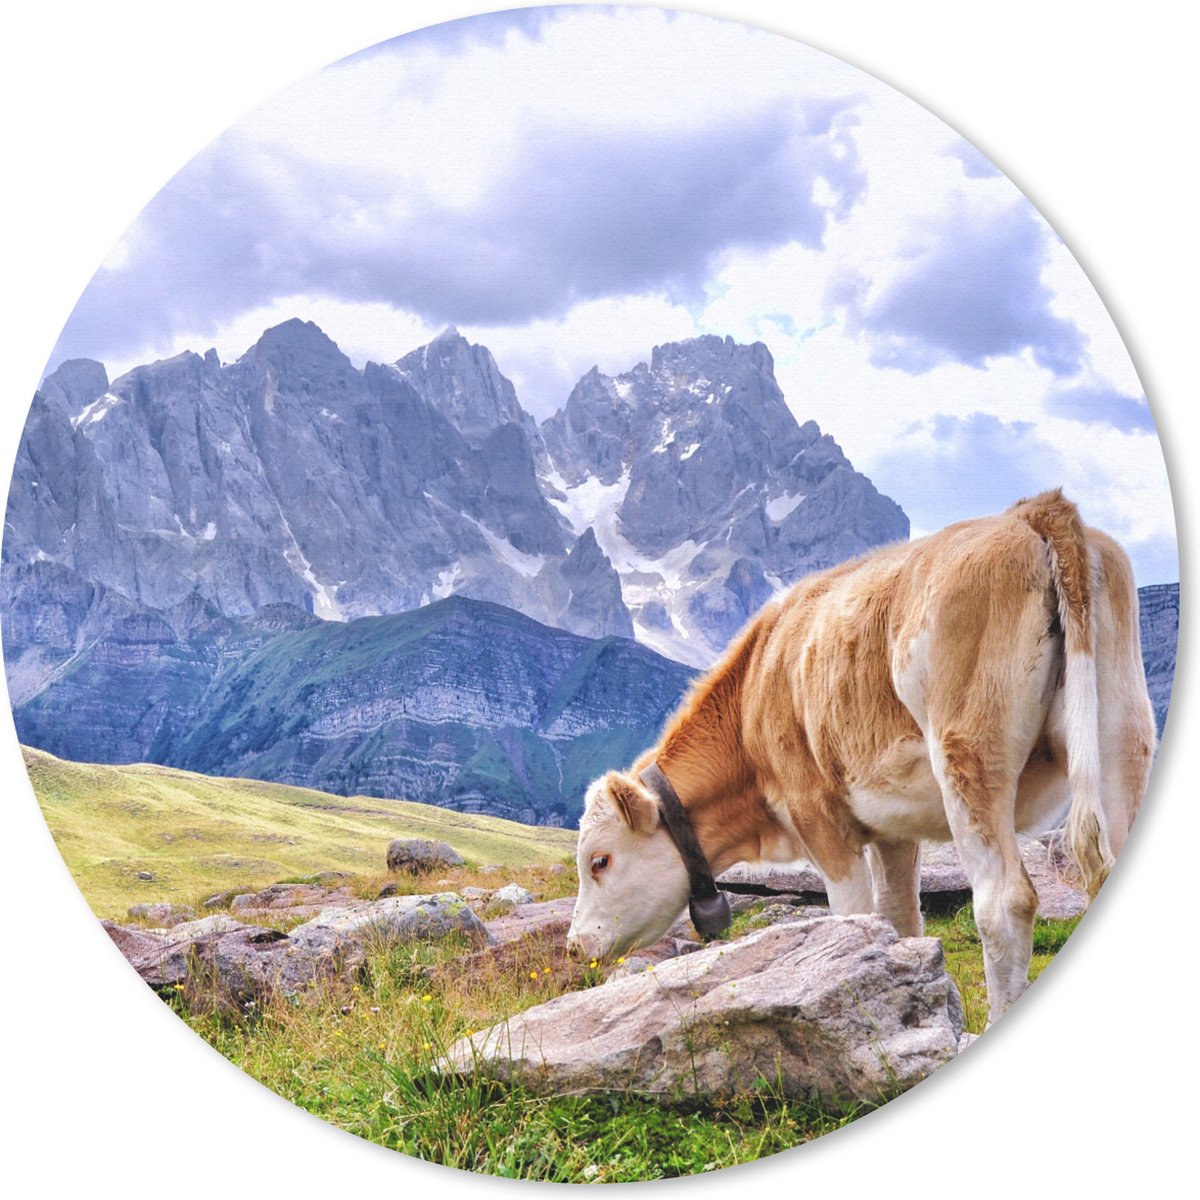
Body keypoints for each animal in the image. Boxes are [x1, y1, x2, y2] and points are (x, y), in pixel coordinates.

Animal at [567, 491, 1157, 1024]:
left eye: (600, 860)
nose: (574, 946)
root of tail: (1034, 511)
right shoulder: (893, 829)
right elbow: (899, 920)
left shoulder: (818, 816)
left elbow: (852, 919)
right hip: (1121, 736)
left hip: (969, 754)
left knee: (1003, 902)